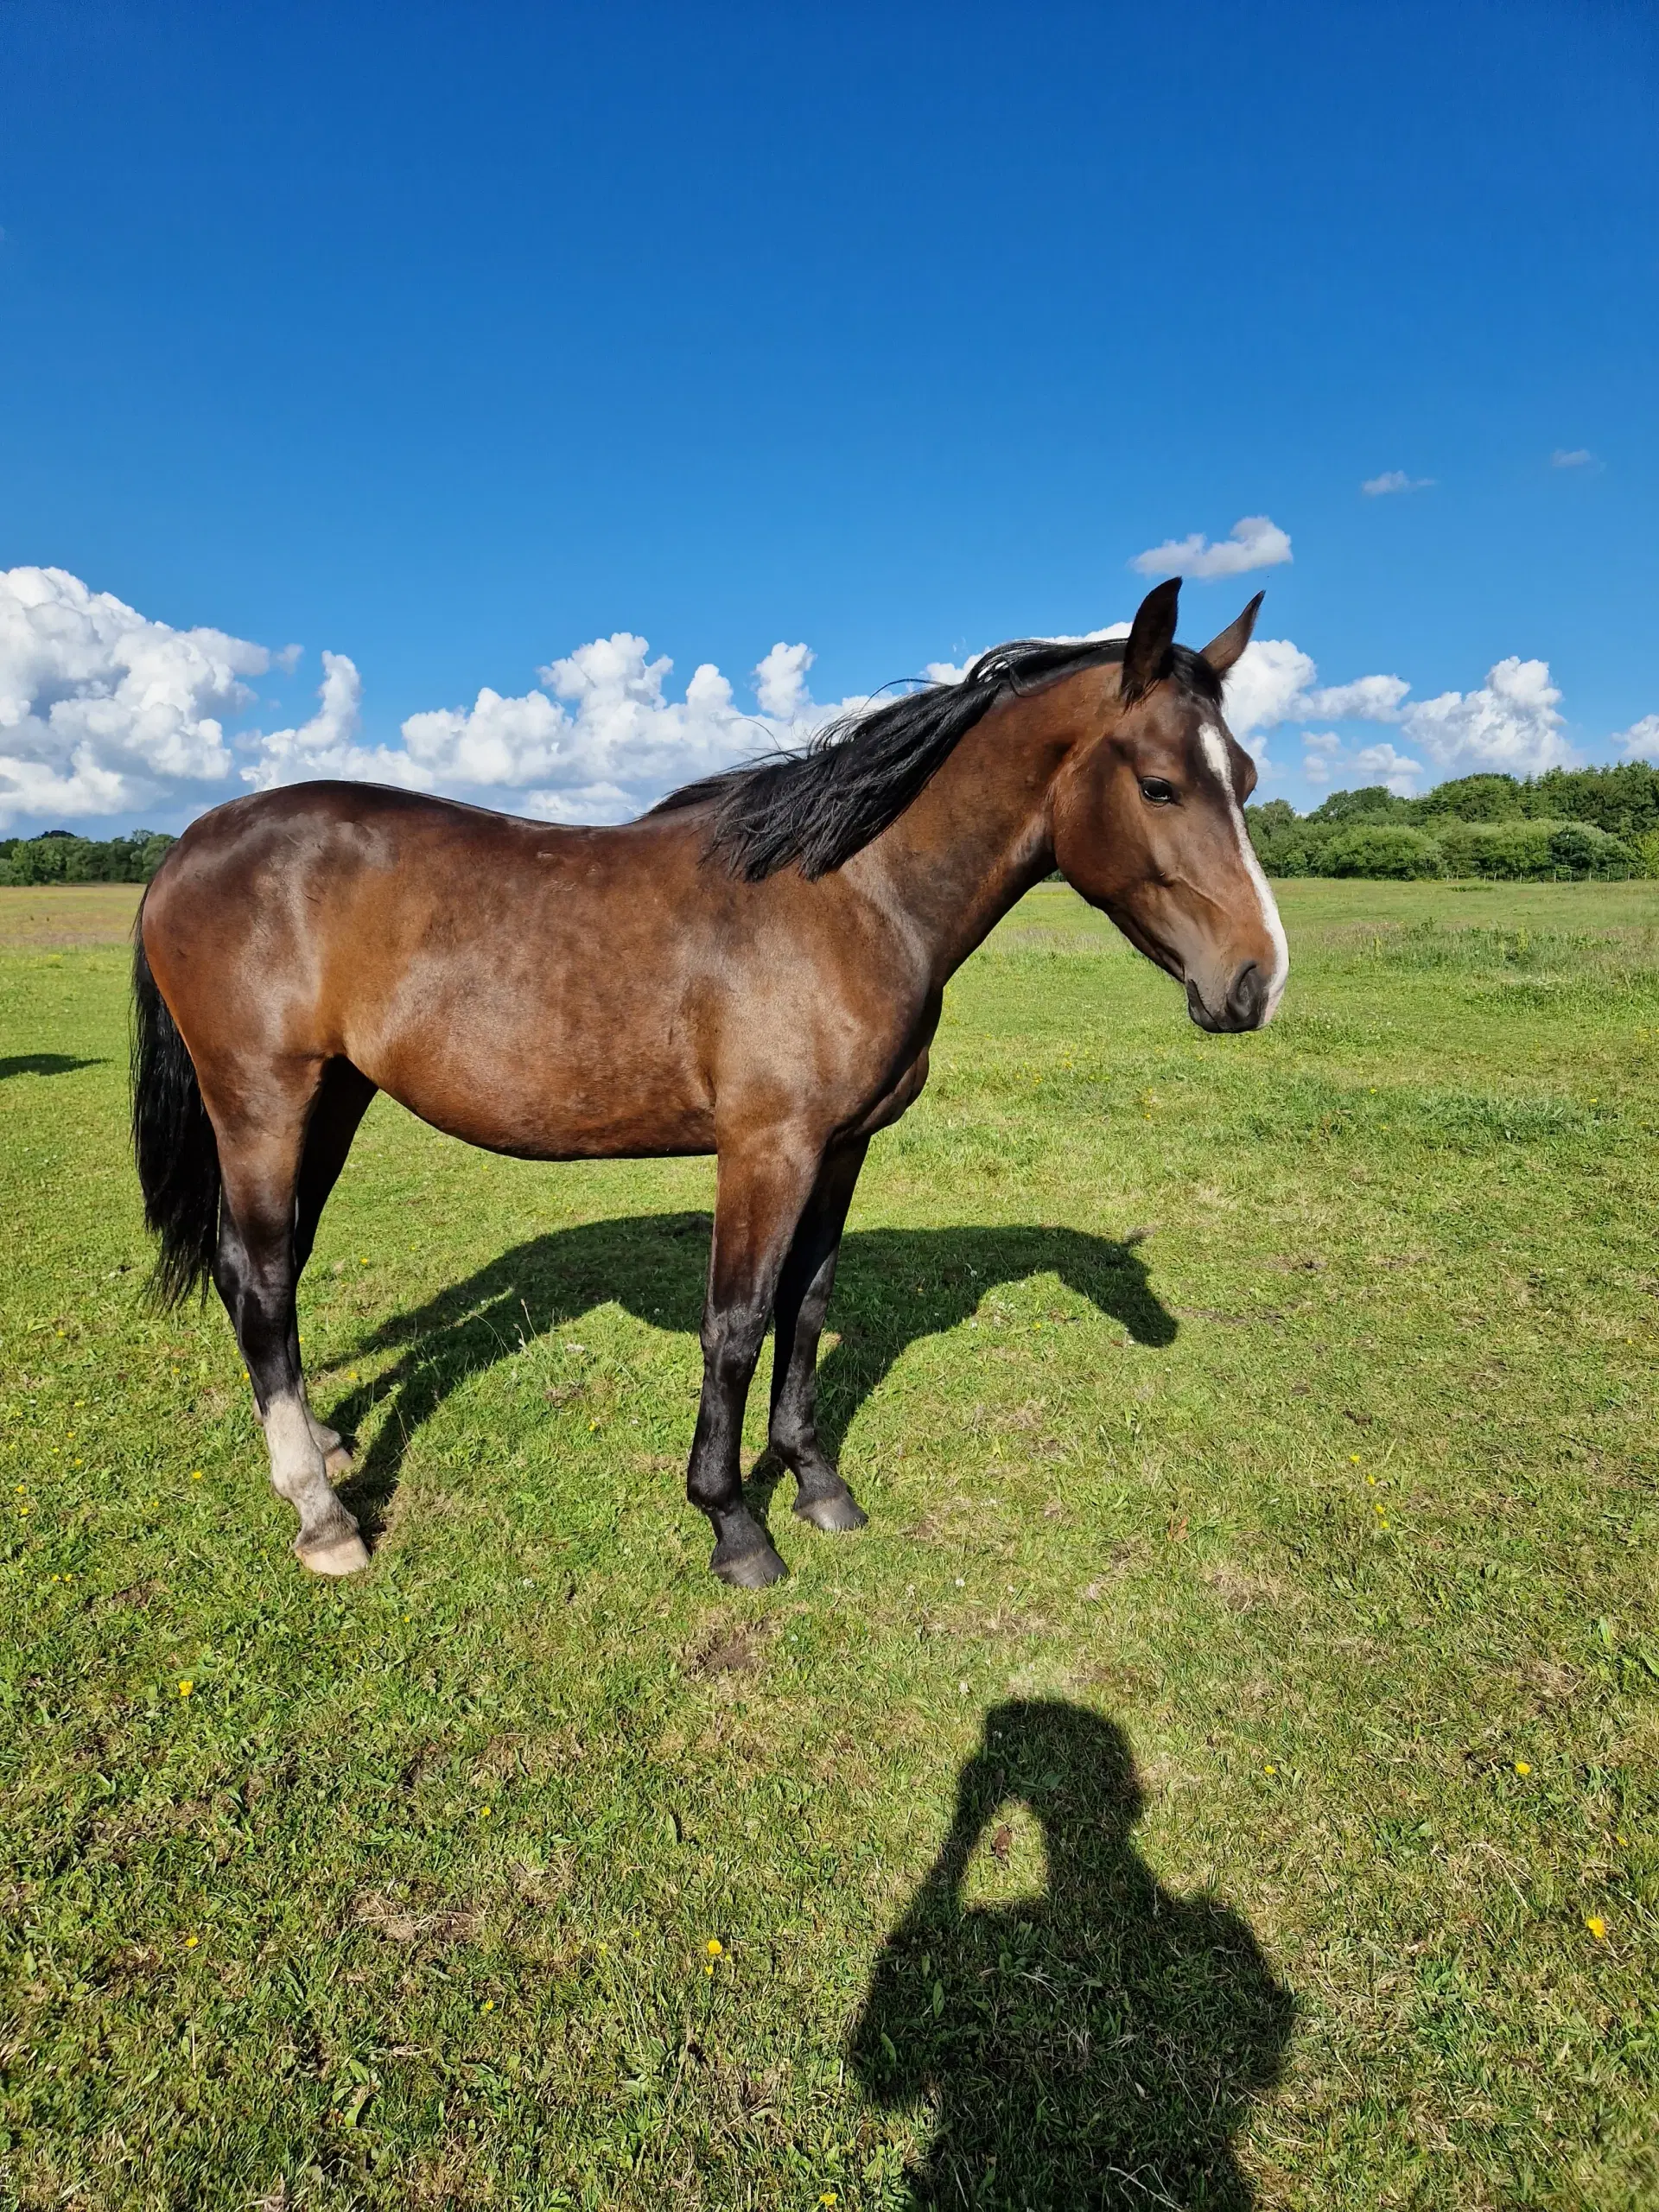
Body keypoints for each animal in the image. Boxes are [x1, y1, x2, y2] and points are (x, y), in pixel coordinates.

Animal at [137, 579, 1292, 1583]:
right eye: (1159, 784)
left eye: (1245, 782)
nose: (1257, 981)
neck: (854, 898)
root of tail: (191, 844)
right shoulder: (766, 1149)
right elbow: (735, 1326)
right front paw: (733, 1521)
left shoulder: (840, 1148)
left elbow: (807, 1306)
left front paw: (816, 1481)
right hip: (262, 1101)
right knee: (261, 1276)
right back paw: (323, 1516)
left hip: (334, 1095)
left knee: (272, 1272)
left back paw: (324, 1445)